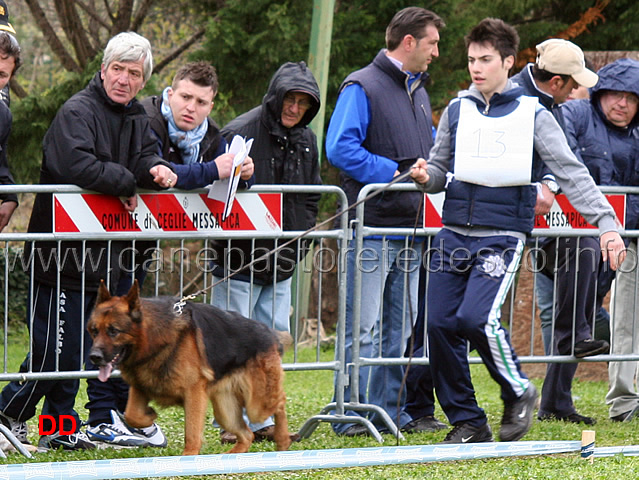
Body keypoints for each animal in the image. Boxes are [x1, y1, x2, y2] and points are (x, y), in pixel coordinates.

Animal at [87, 280, 292, 456]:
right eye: (94, 331)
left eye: (114, 331)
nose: (94, 357)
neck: (154, 336)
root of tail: (269, 333)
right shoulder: (140, 388)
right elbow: (132, 415)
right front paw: (149, 415)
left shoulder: (193, 394)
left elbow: (192, 432)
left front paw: (189, 456)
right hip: (225, 411)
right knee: (247, 434)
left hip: (257, 404)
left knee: (280, 402)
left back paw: (283, 440)